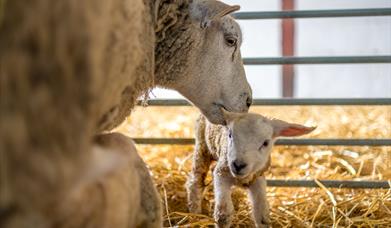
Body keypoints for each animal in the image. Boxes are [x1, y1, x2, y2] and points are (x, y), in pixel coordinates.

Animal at [187, 110, 316, 226]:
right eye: (230, 135)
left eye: (265, 143)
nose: (238, 165)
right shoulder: (221, 173)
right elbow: (223, 214)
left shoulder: (257, 178)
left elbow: (261, 215)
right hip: (202, 147)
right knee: (195, 181)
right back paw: (195, 214)